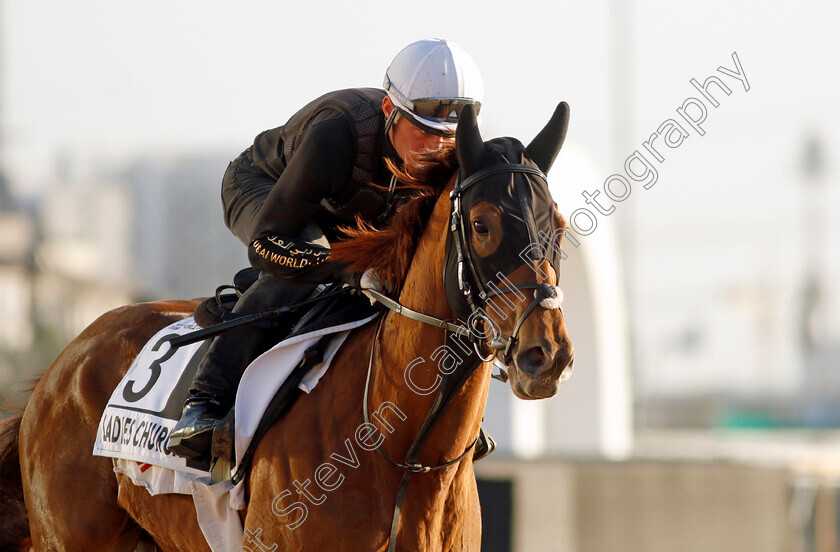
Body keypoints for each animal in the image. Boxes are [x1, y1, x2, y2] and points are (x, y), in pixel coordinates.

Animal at [0, 104, 576, 552]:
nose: (547, 355)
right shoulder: (326, 142)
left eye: (558, 226)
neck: (405, 456)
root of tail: (61, 368)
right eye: (481, 225)